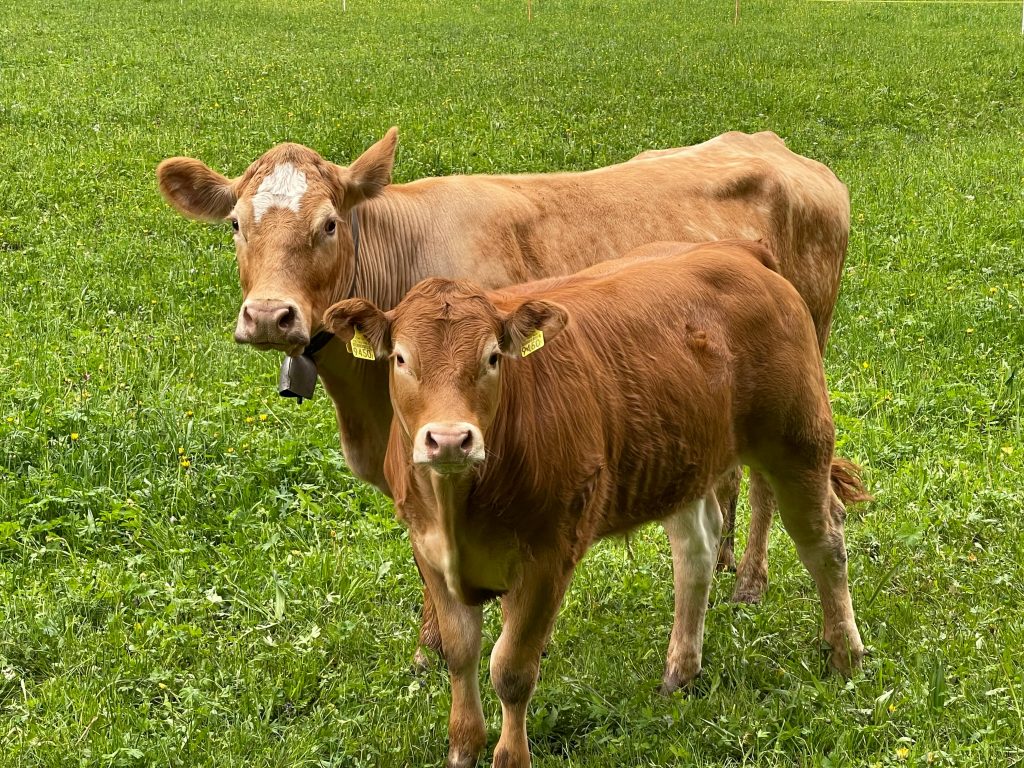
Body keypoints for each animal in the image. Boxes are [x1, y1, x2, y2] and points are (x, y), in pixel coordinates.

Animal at [156, 129, 851, 666]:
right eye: (236, 225)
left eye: (328, 224)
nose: (269, 316)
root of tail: (773, 146)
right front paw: (431, 650)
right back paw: (728, 561)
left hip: (799, 367)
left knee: (771, 485)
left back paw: (752, 580)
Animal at [322, 240, 868, 768]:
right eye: (401, 359)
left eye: (493, 357)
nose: (451, 440)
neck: (458, 505)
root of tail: (739, 251)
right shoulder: (428, 550)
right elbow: (461, 655)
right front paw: (462, 748)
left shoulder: (548, 556)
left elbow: (512, 668)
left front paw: (510, 757)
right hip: (684, 458)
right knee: (697, 549)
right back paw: (680, 671)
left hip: (797, 439)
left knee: (824, 542)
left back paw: (845, 655)